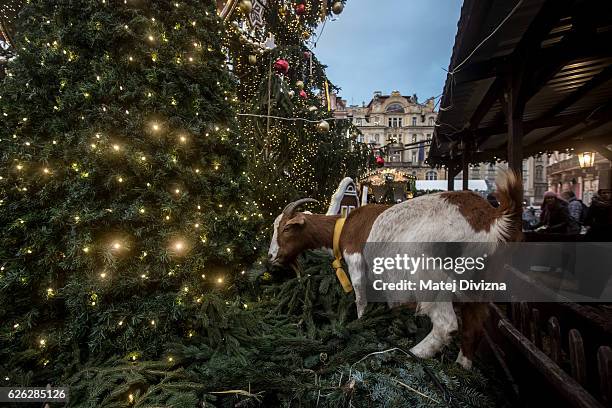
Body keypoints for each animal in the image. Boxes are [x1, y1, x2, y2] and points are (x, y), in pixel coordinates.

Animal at [268, 171, 520, 368]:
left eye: (286, 229)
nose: (271, 257)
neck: (343, 226)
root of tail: (491, 218)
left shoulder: (356, 262)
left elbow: (360, 298)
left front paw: (361, 323)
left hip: (429, 276)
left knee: (447, 324)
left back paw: (414, 354)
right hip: (480, 288)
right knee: (473, 327)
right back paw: (461, 367)